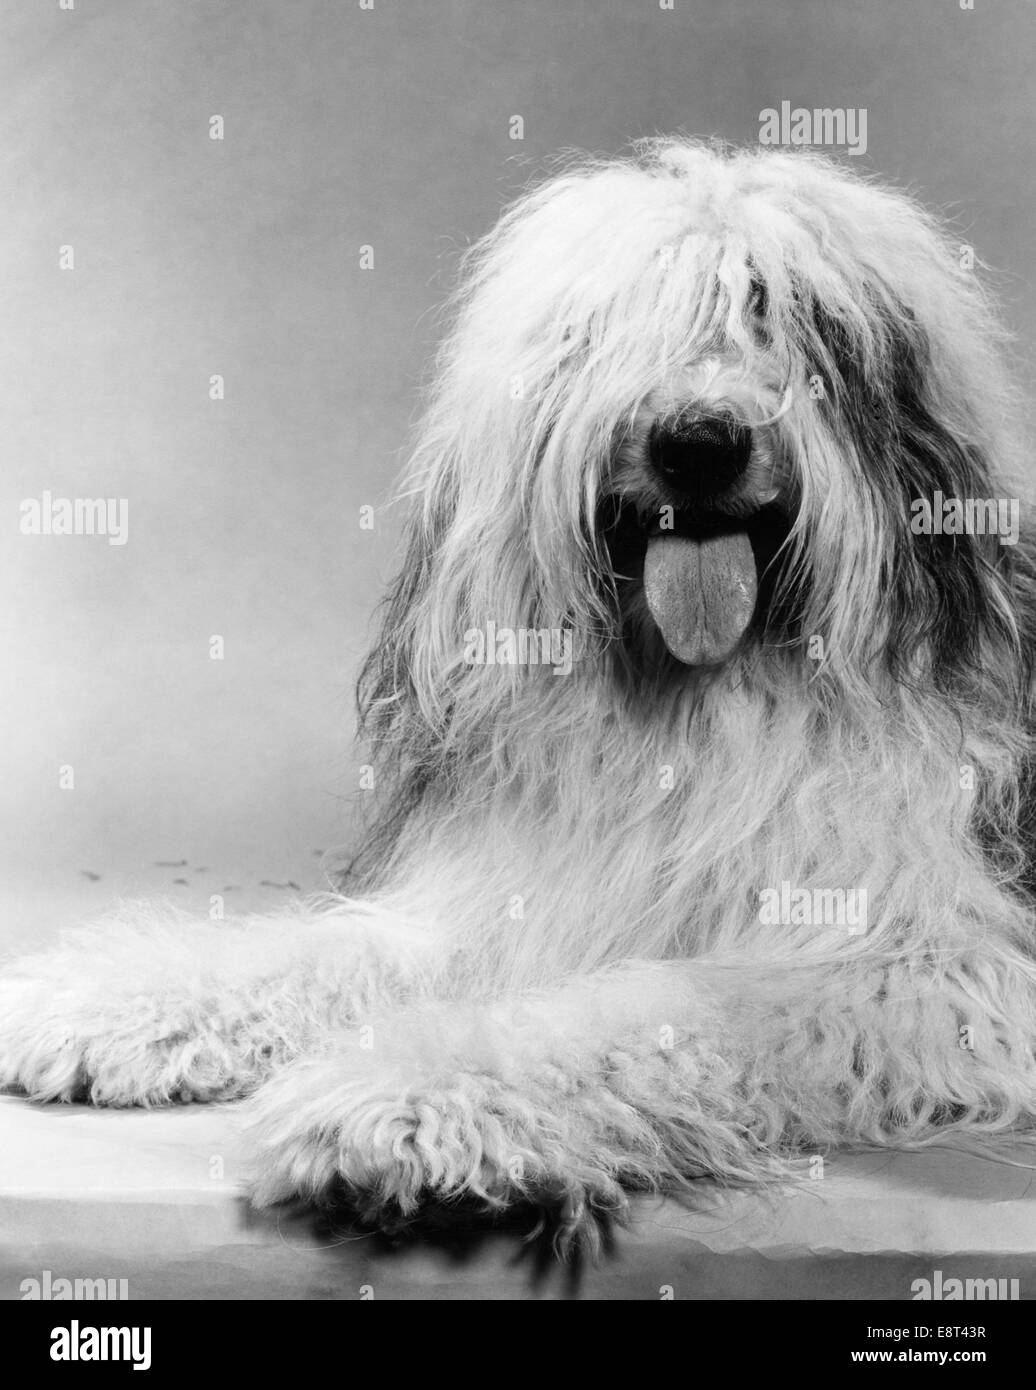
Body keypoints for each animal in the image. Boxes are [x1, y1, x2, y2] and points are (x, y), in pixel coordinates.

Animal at [2, 141, 1034, 1245]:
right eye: (603, 327)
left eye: (781, 312)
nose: (697, 442)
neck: (696, 705)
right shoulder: (521, 896)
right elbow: (333, 953)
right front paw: (109, 997)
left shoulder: (940, 961)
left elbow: (675, 1006)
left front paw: (401, 1100)